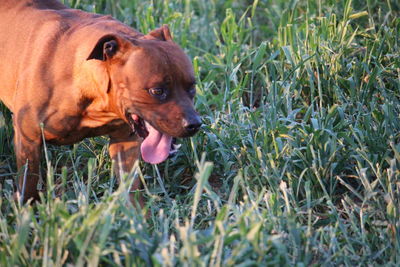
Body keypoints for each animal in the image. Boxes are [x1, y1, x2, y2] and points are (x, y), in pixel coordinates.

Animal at [0, 0, 200, 204]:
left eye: (192, 87)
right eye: (157, 91)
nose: (195, 124)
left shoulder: (126, 143)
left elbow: (131, 190)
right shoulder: (28, 139)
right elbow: (29, 182)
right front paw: (25, 207)